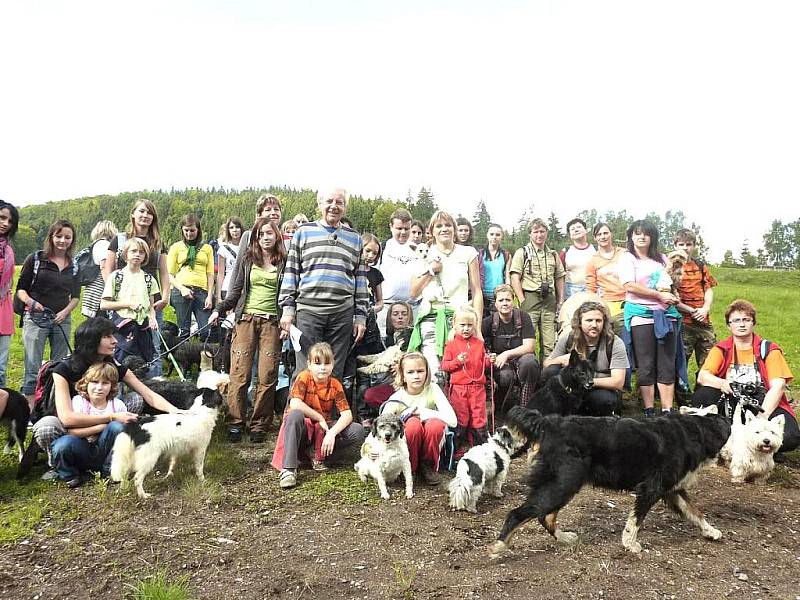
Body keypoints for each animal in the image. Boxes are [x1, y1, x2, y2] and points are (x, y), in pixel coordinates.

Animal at [488, 404, 732, 556]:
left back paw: (565, 538)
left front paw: (711, 531)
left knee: (545, 516)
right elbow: (636, 520)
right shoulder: (652, 488)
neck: (693, 431)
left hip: (561, 485)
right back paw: (499, 546)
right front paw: (630, 544)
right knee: (519, 513)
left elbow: (696, 512)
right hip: (563, 484)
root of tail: (549, 422)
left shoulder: (673, 490)